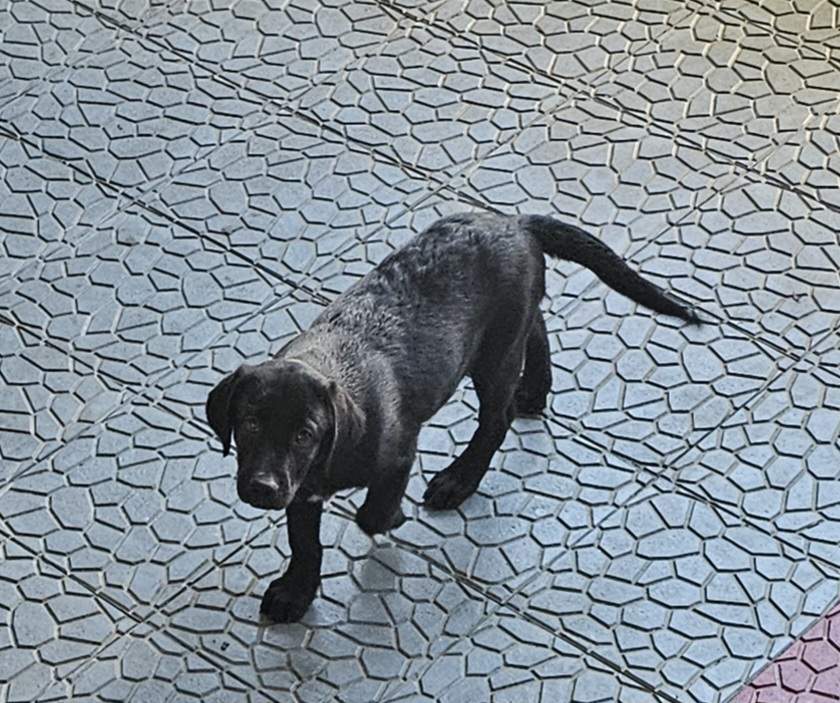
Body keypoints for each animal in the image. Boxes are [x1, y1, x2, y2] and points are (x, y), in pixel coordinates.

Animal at [207, 212, 700, 624]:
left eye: (305, 434)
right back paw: (535, 388)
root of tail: (516, 222)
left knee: (497, 418)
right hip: (506, 334)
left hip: (493, 356)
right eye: (249, 424)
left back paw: (459, 479)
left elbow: (372, 515)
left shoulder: (396, 452)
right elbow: (304, 542)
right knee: (537, 325)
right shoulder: (301, 487)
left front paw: (392, 517)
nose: (261, 487)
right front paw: (297, 593)